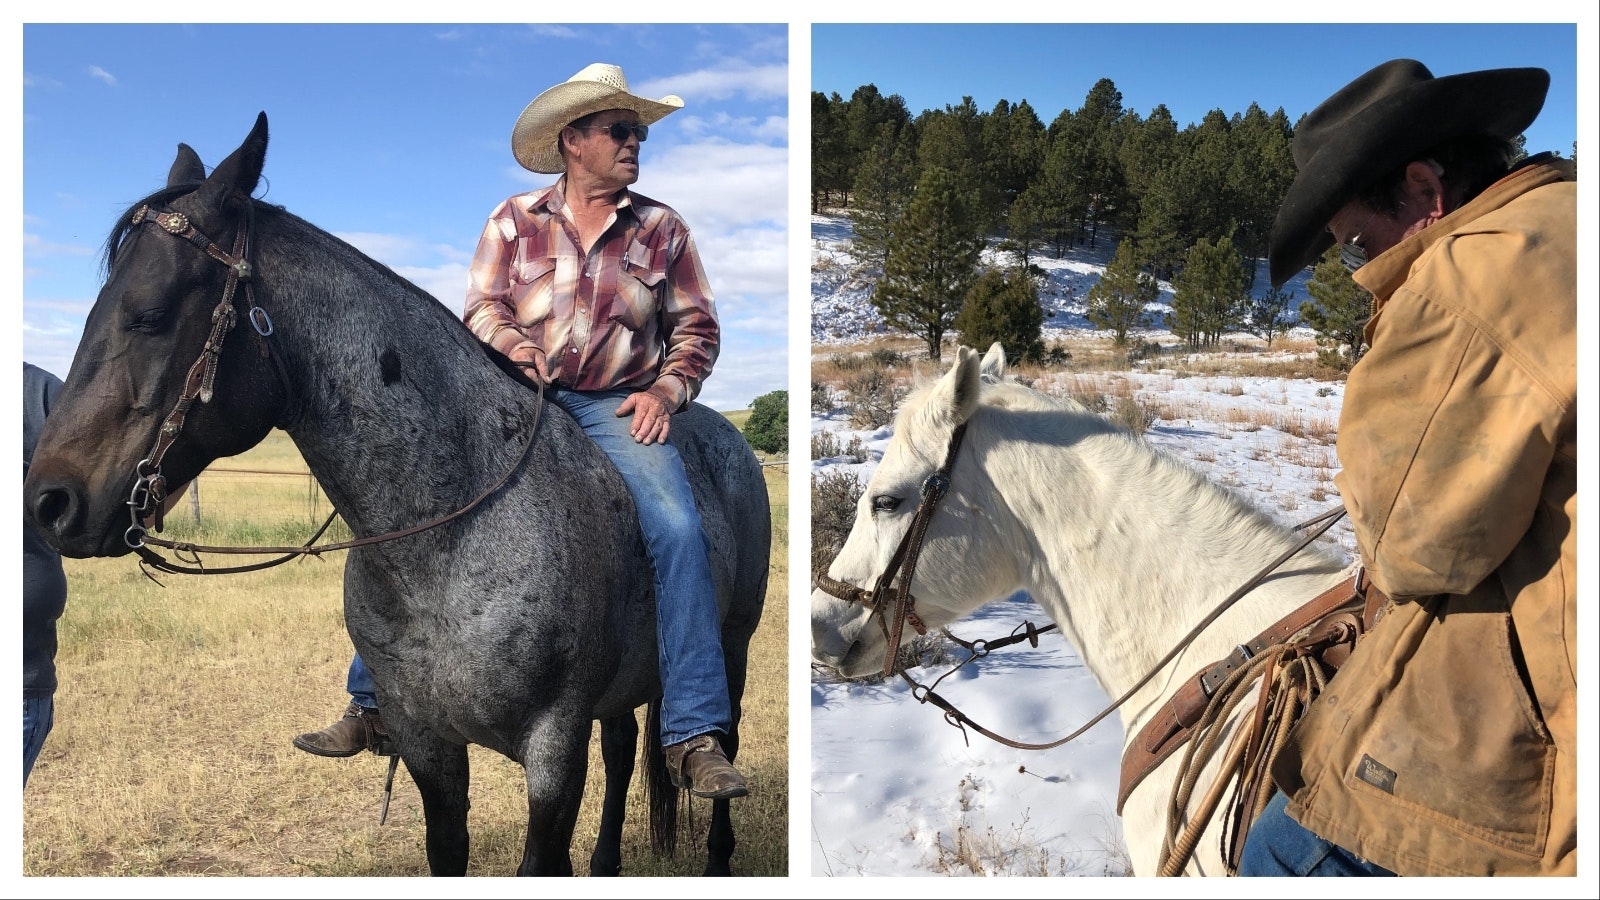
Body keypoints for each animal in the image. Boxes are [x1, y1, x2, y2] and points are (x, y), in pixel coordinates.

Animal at [23, 113, 774, 877]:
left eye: (147, 314)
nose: (49, 503)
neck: (452, 538)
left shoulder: (553, 751)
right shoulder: (428, 748)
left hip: (732, 651)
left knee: (721, 747)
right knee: (622, 752)